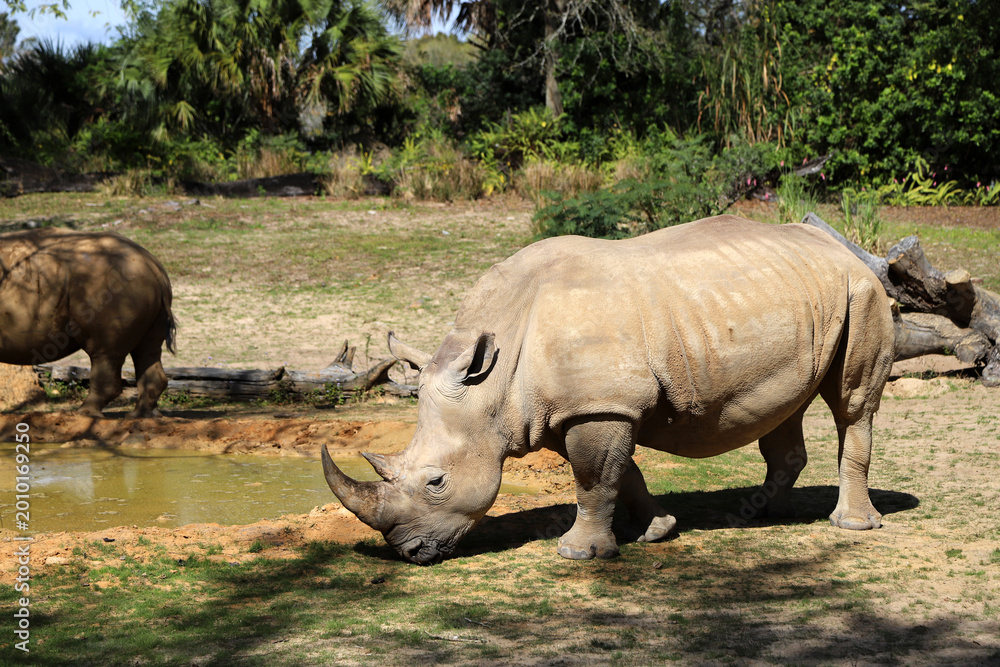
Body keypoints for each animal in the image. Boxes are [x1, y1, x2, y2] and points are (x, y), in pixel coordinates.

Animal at [0, 227, 176, 417]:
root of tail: (153, 264)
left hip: (111, 285)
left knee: (104, 352)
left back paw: (84, 414)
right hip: (136, 285)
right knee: (147, 348)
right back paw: (143, 416)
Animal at [321, 215, 895, 563]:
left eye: (437, 482)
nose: (409, 551)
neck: (494, 381)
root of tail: (840, 246)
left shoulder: (598, 407)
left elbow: (594, 478)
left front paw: (578, 554)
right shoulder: (566, 408)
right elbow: (620, 474)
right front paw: (660, 530)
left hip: (863, 292)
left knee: (852, 405)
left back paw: (851, 525)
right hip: (803, 296)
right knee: (787, 407)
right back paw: (762, 512)